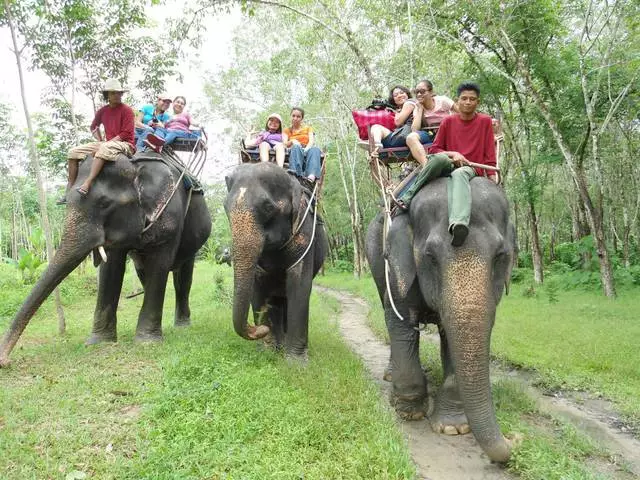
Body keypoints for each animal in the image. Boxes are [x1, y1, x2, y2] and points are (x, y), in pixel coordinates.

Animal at [0, 154, 212, 368]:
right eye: (66, 202)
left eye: (104, 203)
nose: (5, 361)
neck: (136, 165)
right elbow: (111, 267)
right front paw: (99, 342)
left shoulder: (170, 217)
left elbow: (159, 264)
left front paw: (147, 343)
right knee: (143, 271)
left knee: (183, 277)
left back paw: (182, 325)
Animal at [224, 163, 324, 358]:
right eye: (225, 207)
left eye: (268, 207)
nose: (261, 329)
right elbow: (257, 287)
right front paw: (267, 351)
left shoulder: (305, 232)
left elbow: (299, 284)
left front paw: (295, 361)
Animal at [364, 175, 516, 462]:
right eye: (430, 257)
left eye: (500, 256)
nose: (513, 439)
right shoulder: (398, 267)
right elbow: (400, 322)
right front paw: (410, 411)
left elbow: (452, 339)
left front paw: (452, 428)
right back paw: (390, 376)